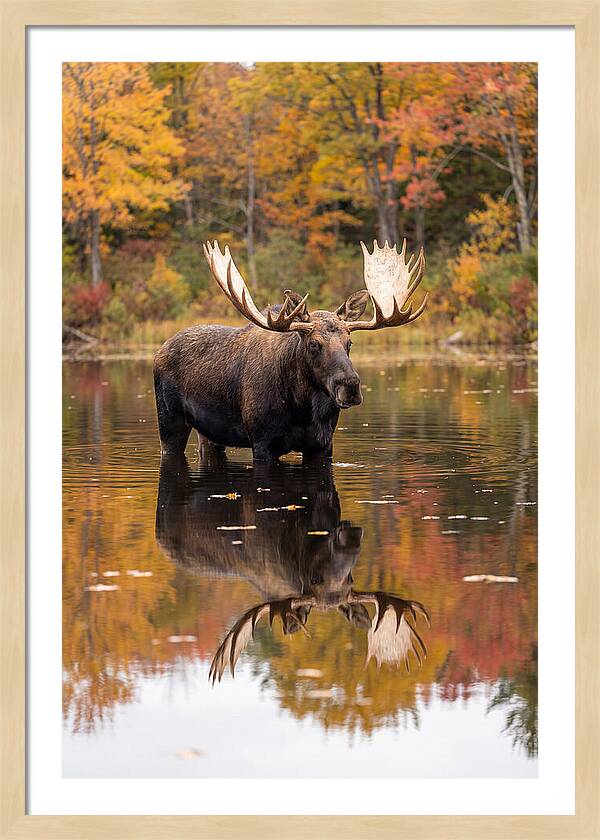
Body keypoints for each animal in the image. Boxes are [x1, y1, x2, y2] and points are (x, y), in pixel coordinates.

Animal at [153, 239, 427, 462]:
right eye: (313, 344)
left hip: (209, 433)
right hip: (169, 421)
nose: (349, 386)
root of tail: (160, 350)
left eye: (349, 343)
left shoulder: (322, 444)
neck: (302, 408)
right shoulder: (262, 442)